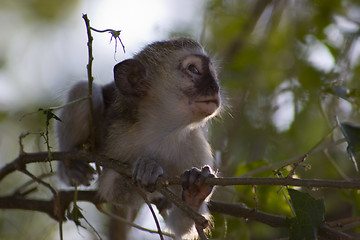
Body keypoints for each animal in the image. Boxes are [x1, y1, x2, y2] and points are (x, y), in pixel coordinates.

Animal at [56, 37, 221, 238]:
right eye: (194, 69)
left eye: (212, 74)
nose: (215, 88)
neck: (163, 132)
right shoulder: (120, 139)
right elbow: (110, 188)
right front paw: (147, 169)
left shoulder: (195, 148)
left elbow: (182, 227)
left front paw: (194, 195)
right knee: (85, 90)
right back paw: (69, 167)